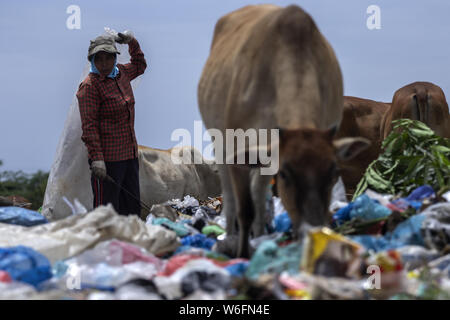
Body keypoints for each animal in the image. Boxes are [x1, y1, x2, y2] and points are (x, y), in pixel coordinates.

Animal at [198, 4, 370, 258]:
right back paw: (229, 237)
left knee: (259, 192)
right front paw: (242, 254)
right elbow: (244, 209)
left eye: (333, 173)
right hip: (219, 142)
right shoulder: (238, 150)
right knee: (230, 197)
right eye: (286, 174)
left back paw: (260, 235)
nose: (312, 231)